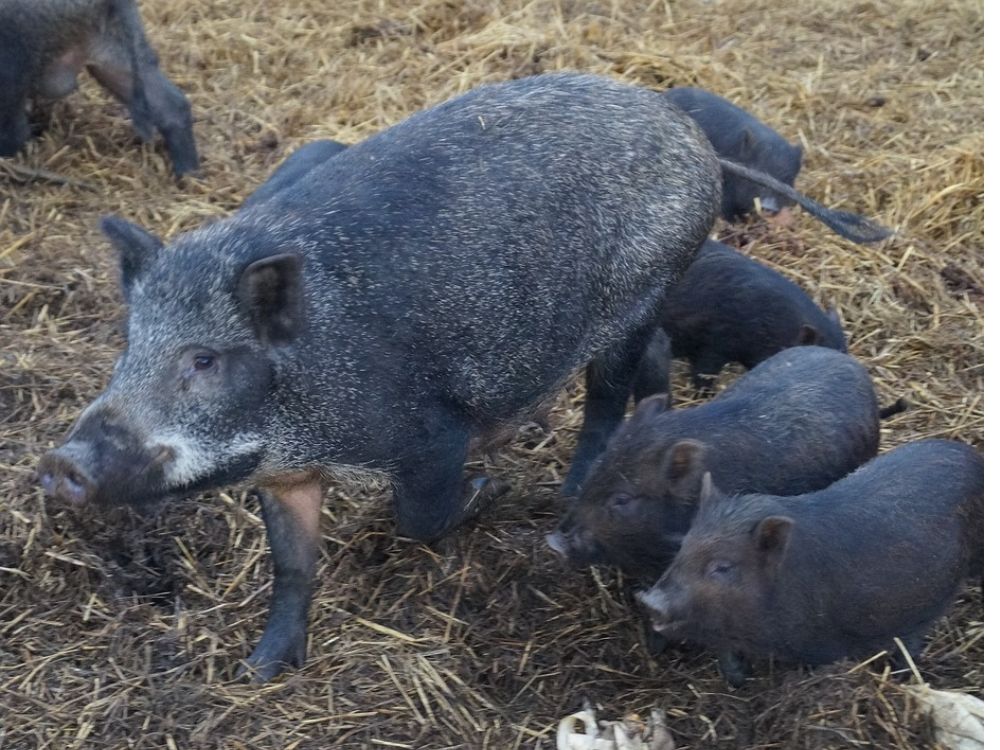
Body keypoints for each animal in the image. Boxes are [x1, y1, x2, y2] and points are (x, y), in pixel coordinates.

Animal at [640, 440, 984, 688]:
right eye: (684, 546)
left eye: (722, 567)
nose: (649, 600)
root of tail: (972, 455)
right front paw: (739, 681)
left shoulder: (824, 643)